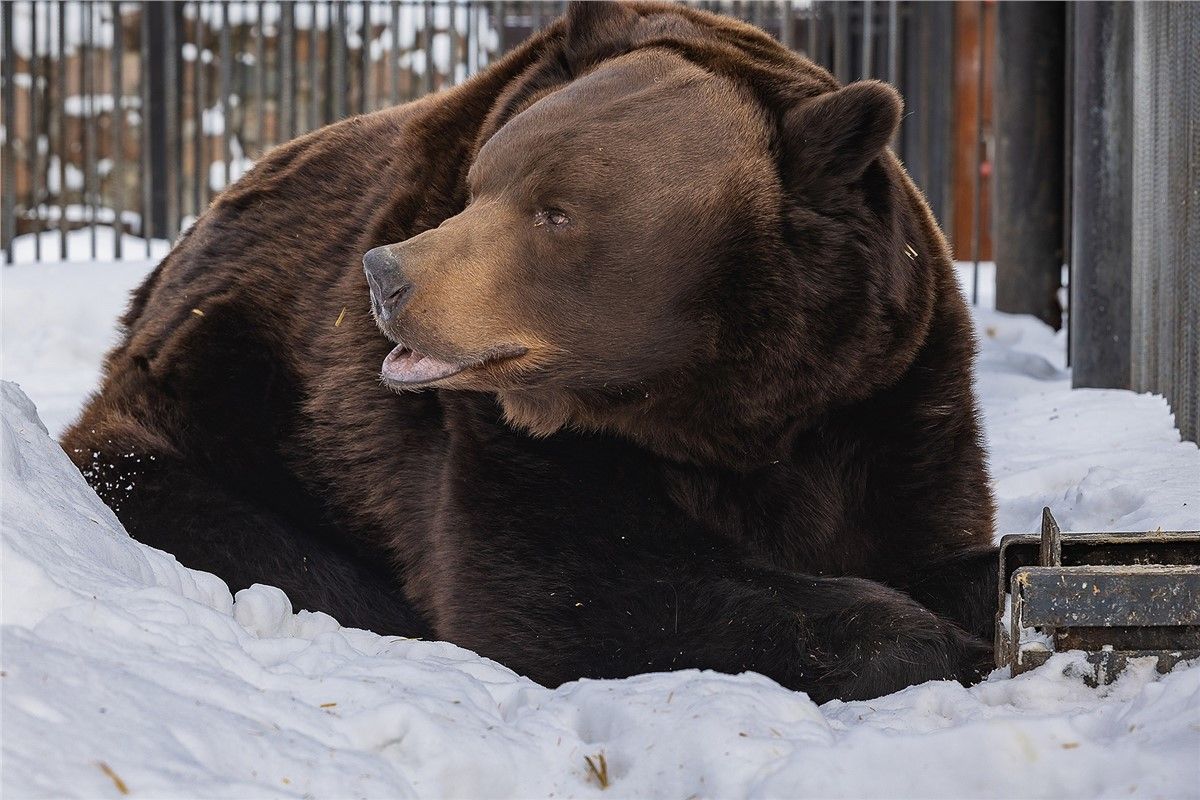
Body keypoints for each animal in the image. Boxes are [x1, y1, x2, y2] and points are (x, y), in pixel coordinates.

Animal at [68, 1, 1003, 700]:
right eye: (484, 181)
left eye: (556, 212)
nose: (386, 274)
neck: (716, 407)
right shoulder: (524, 444)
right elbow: (577, 589)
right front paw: (941, 642)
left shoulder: (885, 396)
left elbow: (938, 542)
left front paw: (982, 601)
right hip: (231, 382)